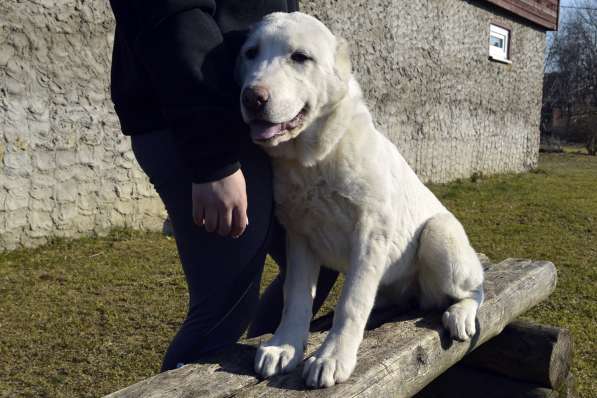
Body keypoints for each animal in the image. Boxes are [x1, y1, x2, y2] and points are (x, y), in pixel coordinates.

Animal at [235, 11, 482, 388]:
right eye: (250, 53)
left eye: (300, 57)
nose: (252, 97)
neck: (315, 160)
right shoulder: (300, 238)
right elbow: (295, 297)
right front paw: (285, 345)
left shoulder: (370, 234)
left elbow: (351, 302)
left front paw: (332, 356)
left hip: (440, 235)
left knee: (477, 287)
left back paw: (461, 313)